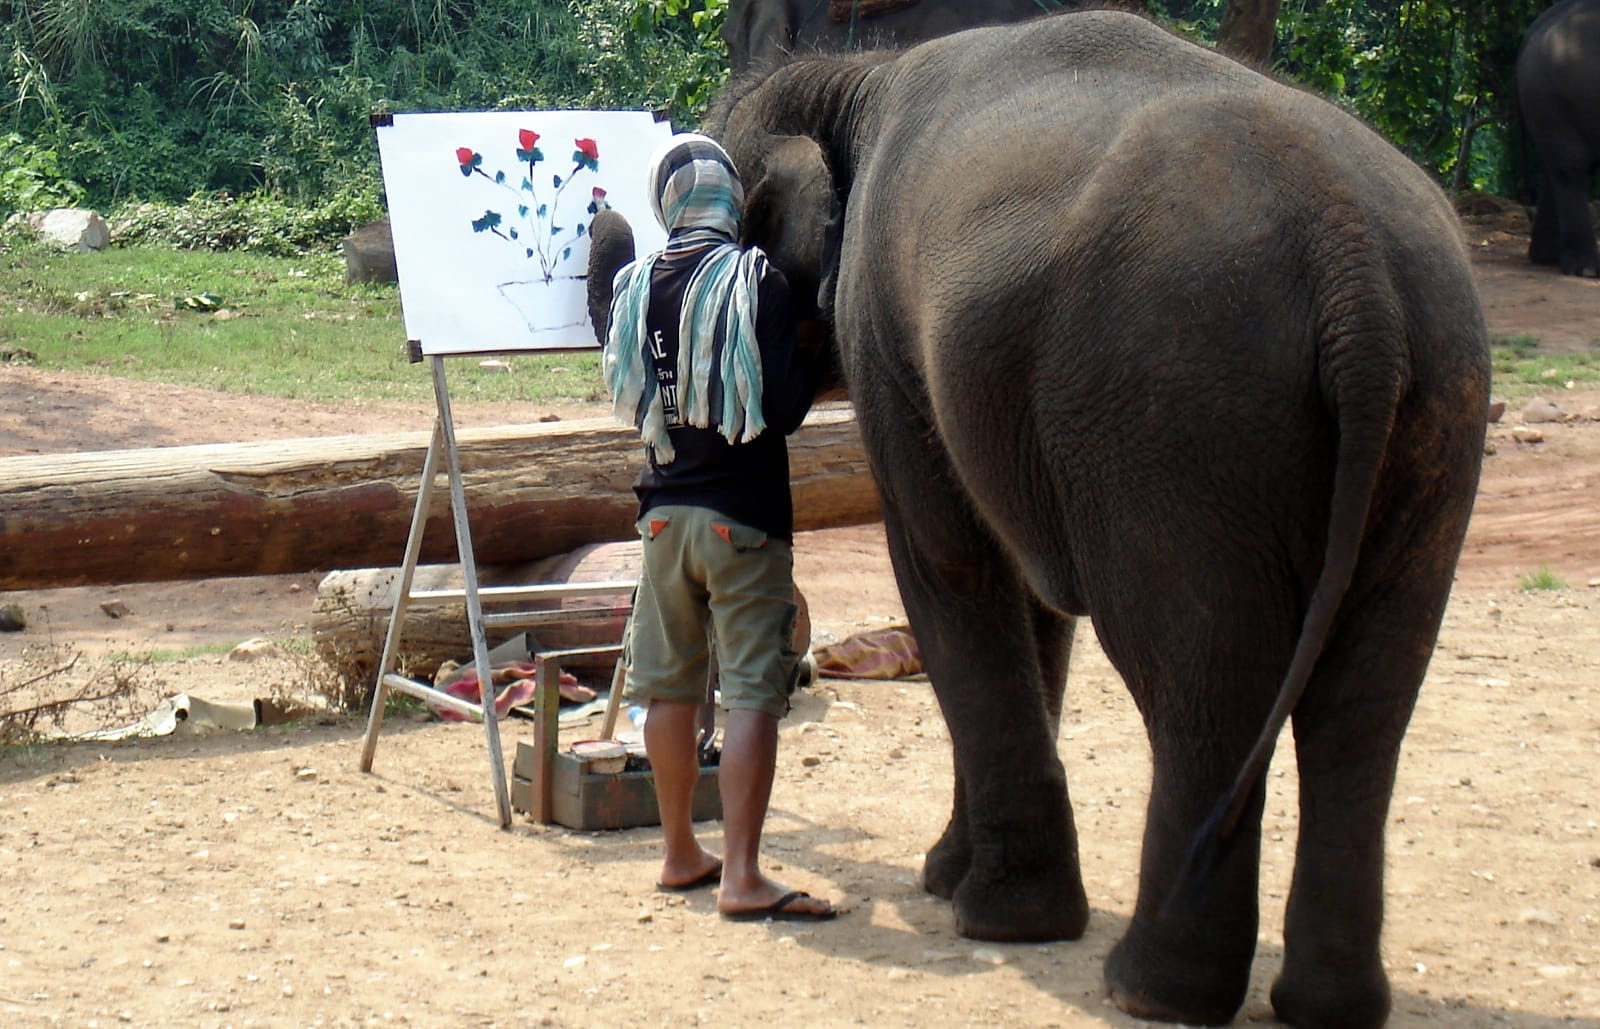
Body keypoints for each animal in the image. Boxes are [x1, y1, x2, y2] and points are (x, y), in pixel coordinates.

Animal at [699, 10, 1491, 1027]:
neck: (854, 74)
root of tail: (1356, 274)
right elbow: (1031, 606)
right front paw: (953, 877)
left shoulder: (887, 332)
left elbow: (951, 564)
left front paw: (996, 917)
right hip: (1438, 412)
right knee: (1365, 704)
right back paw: (1327, 1004)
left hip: (1176, 419)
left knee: (1203, 677)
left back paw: (1148, 986)